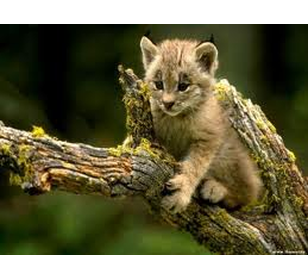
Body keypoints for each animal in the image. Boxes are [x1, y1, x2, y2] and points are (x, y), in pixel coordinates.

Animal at [140, 35, 262, 212]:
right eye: (159, 84)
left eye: (183, 86)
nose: (167, 103)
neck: (178, 117)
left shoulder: (208, 138)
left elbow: (195, 165)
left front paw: (181, 191)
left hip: (229, 152)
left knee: (250, 191)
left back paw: (215, 189)